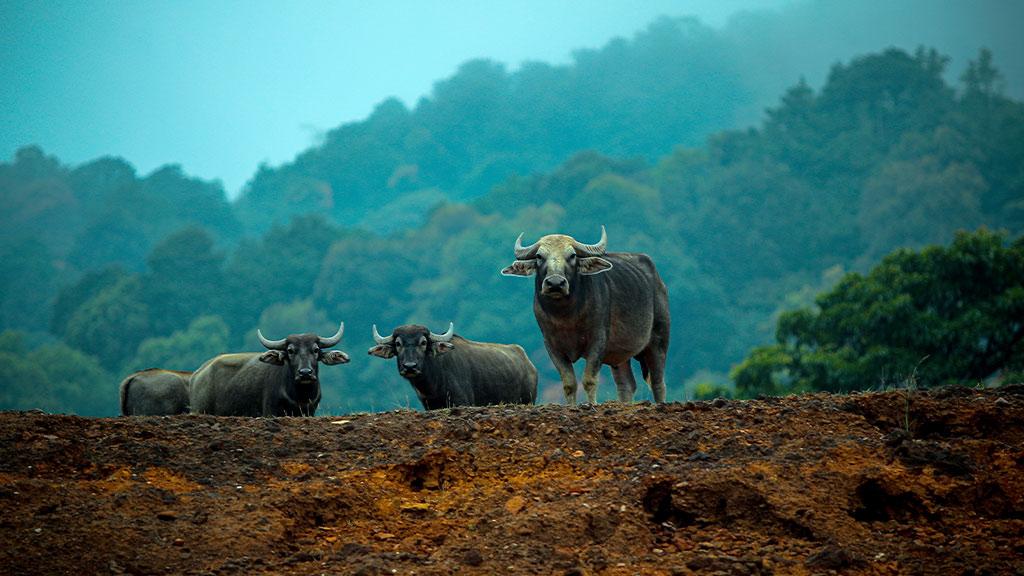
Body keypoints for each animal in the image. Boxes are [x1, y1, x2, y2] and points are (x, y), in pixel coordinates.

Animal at [499, 225, 667, 403]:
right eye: (539, 256)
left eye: (572, 256)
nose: (555, 283)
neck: (566, 317)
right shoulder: (552, 346)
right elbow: (569, 383)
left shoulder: (598, 341)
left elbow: (589, 380)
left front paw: (591, 404)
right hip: (619, 355)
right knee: (626, 384)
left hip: (659, 339)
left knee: (657, 381)